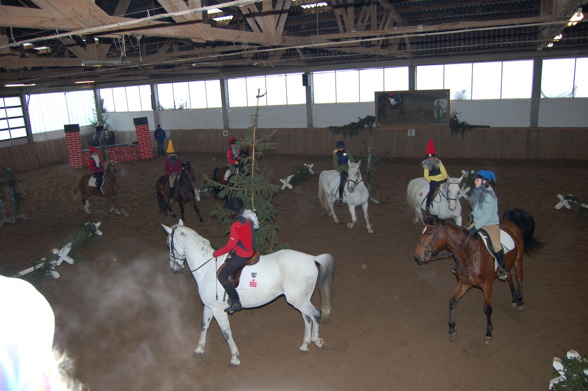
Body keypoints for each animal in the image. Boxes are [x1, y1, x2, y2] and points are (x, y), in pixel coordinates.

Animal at [161, 220, 336, 368]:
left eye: (168, 244)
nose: (173, 268)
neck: (207, 268)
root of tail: (311, 258)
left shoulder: (218, 310)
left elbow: (226, 333)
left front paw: (234, 357)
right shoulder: (209, 306)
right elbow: (204, 325)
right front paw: (199, 349)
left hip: (298, 300)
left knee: (316, 314)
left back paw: (317, 341)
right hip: (301, 300)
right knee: (307, 318)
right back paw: (305, 344)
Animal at [412, 211, 540, 344]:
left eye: (429, 233)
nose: (417, 256)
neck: (470, 253)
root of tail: (510, 222)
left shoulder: (487, 285)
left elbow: (487, 309)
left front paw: (489, 332)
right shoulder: (465, 282)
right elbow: (452, 302)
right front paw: (452, 328)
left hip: (518, 259)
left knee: (519, 276)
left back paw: (520, 300)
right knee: (508, 275)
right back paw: (514, 298)